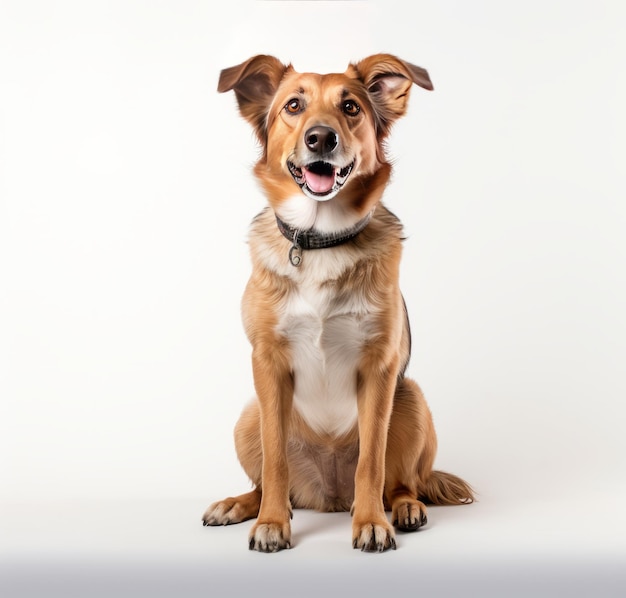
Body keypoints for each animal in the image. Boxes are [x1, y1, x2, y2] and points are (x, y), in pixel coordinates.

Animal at [202, 55, 470, 552]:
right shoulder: (267, 363)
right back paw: (240, 504)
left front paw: (371, 523)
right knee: (267, 482)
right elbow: (274, 460)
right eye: (293, 105)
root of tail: (326, 497)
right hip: (249, 414)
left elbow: (371, 461)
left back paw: (405, 508)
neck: (320, 240)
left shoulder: (380, 368)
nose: (320, 138)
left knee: (400, 480)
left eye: (350, 107)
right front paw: (271, 523)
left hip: (411, 398)